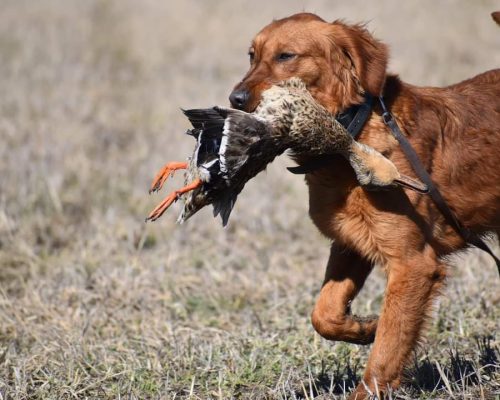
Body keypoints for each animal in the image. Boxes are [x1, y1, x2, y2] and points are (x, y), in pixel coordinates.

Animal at [229, 11, 498, 396]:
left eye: (286, 56)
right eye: (252, 56)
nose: (234, 98)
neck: (350, 137)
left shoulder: (413, 264)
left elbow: (389, 343)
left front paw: (369, 385)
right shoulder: (351, 244)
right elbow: (324, 313)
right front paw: (365, 327)